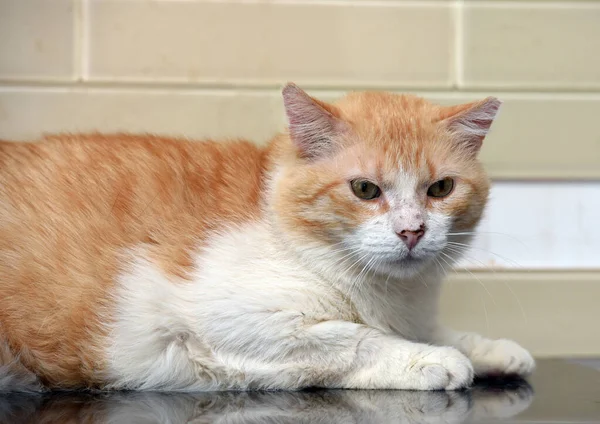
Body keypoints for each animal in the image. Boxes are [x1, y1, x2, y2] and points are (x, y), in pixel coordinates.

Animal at [0, 82, 536, 390]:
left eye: (441, 188)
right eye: (365, 189)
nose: (411, 230)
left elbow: (430, 330)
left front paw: (488, 349)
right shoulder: (228, 322)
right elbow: (356, 338)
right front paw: (433, 359)